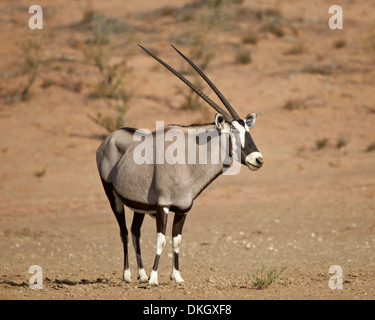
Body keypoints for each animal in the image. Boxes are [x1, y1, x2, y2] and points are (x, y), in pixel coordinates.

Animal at [97, 44, 264, 284]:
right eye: (233, 132)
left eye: (247, 130)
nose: (257, 159)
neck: (188, 158)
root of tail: (108, 138)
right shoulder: (163, 206)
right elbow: (161, 240)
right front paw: (154, 279)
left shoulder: (183, 209)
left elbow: (176, 240)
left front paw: (176, 276)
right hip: (113, 197)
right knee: (124, 232)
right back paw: (128, 275)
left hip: (139, 206)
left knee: (135, 231)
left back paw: (141, 274)